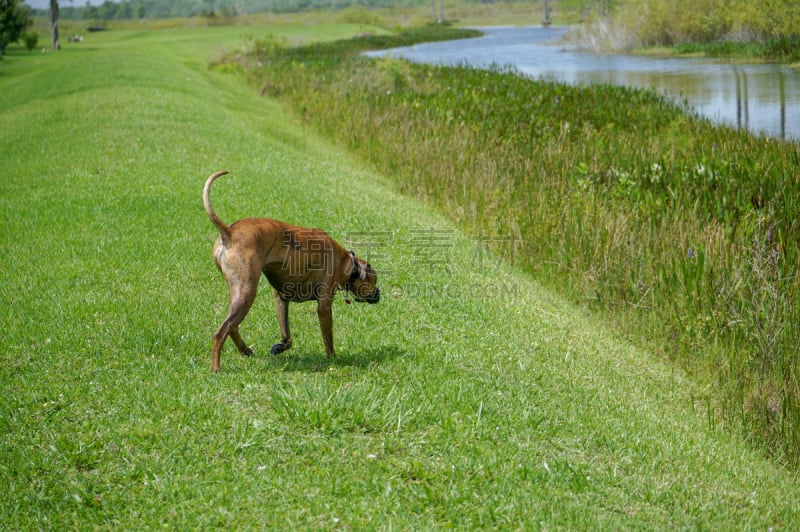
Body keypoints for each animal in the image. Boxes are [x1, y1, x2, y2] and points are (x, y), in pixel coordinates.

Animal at [202, 172, 380, 372]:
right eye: (375, 281)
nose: (378, 294)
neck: (346, 262)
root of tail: (230, 232)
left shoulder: (281, 298)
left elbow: (287, 336)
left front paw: (279, 347)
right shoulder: (324, 306)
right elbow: (328, 338)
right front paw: (333, 358)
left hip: (238, 293)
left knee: (232, 327)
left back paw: (245, 350)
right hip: (246, 292)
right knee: (220, 333)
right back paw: (216, 369)